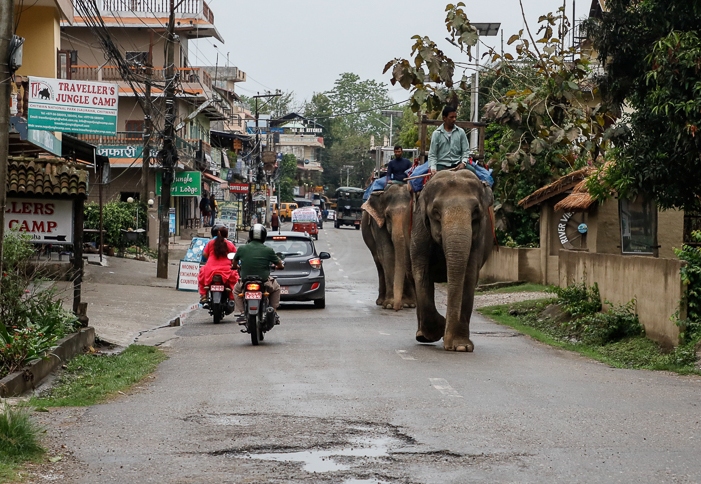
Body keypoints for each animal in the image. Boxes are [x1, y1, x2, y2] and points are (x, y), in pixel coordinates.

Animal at [360, 183, 416, 312]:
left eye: (410, 214)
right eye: (388, 216)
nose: (397, 308)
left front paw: (409, 304)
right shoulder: (378, 223)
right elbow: (388, 254)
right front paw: (390, 304)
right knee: (379, 261)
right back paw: (381, 301)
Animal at [410, 170, 492, 352]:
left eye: (476, 211)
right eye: (436, 212)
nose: (448, 344)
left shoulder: (479, 237)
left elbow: (469, 275)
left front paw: (460, 346)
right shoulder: (420, 229)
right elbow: (421, 272)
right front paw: (437, 331)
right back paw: (422, 335)